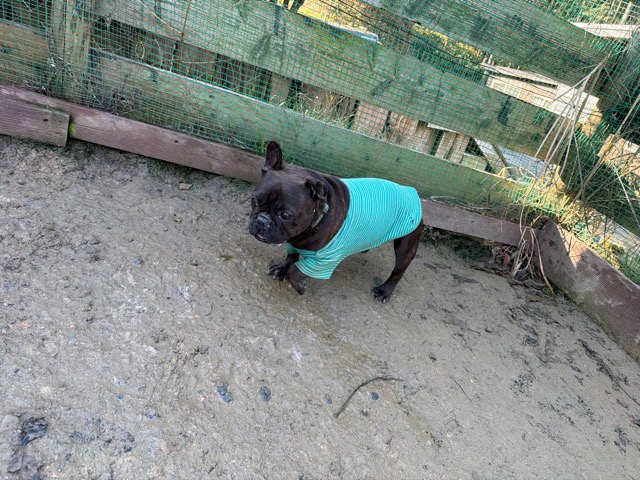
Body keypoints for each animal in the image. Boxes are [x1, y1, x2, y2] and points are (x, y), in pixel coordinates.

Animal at [248, 141, 424, 302]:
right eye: (254, 200)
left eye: (285, 215)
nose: (262, 220)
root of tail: (411, 191)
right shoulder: (293, 243)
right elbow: (291, 257)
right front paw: (282, 269)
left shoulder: (325, 261)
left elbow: (296, 270)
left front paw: (299, 285)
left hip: (405, 247)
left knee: (398, 270)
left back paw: (384, 290)